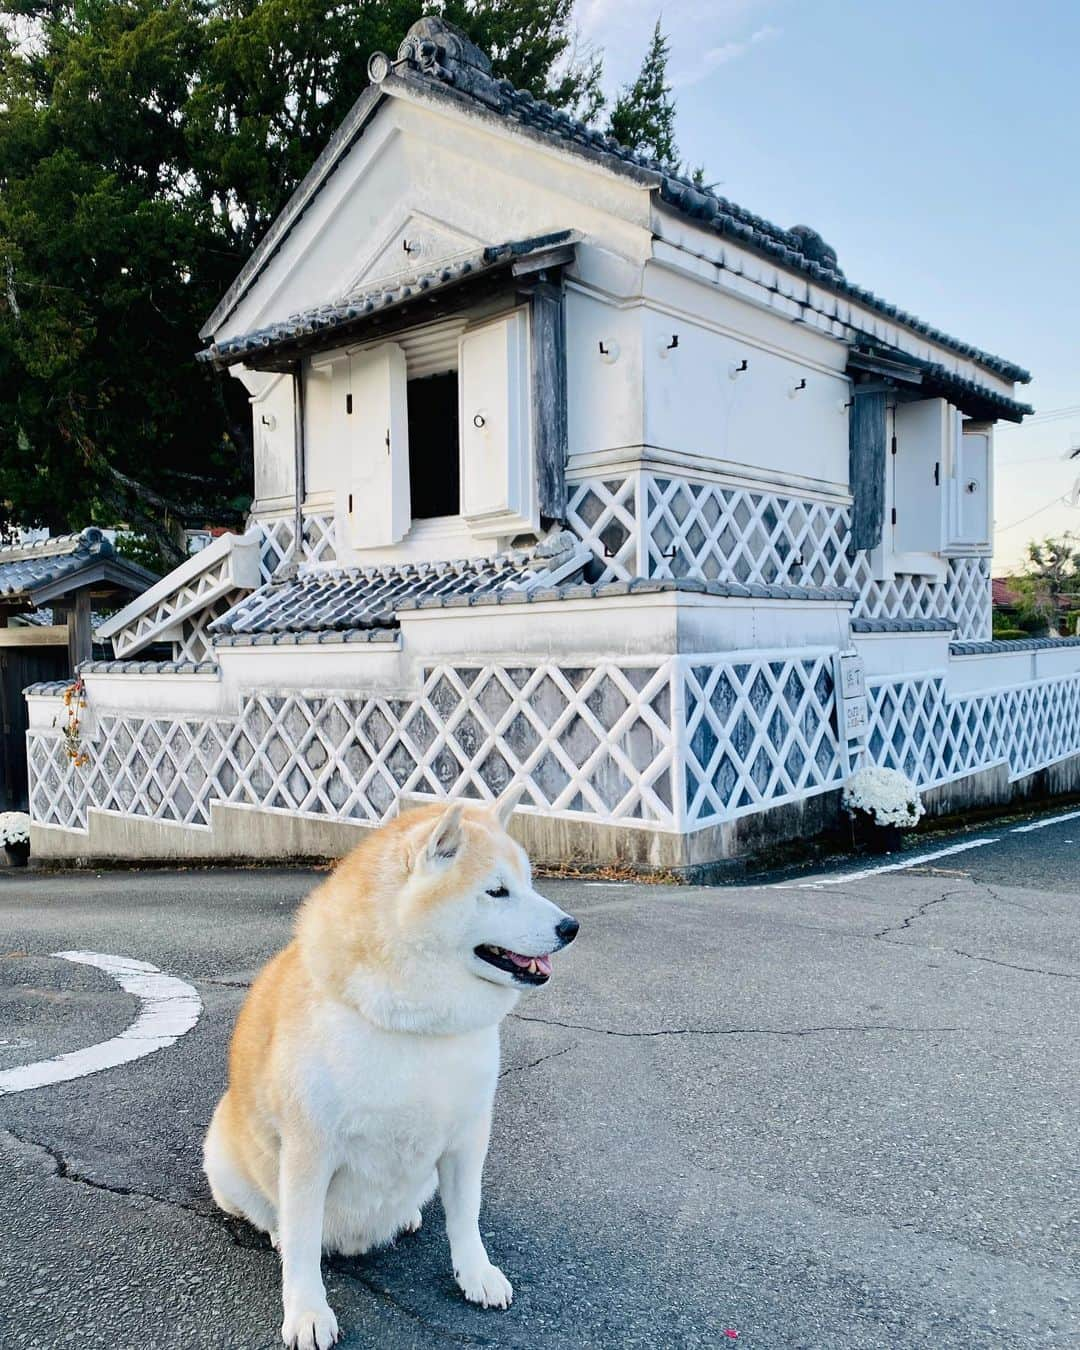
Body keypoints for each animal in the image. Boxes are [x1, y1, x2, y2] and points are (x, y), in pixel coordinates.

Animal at [199, 788, 572, 1350]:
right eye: (497, 891)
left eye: (529, 883)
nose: (570, 927)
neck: (418, 1026)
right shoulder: (309, 1150)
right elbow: (304, 1248)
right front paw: (307, 1311)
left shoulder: (467, 1137)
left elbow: (466, 1218)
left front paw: (476, 1273)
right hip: (224, 1152)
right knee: (274, 1216)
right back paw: (278, 1229)